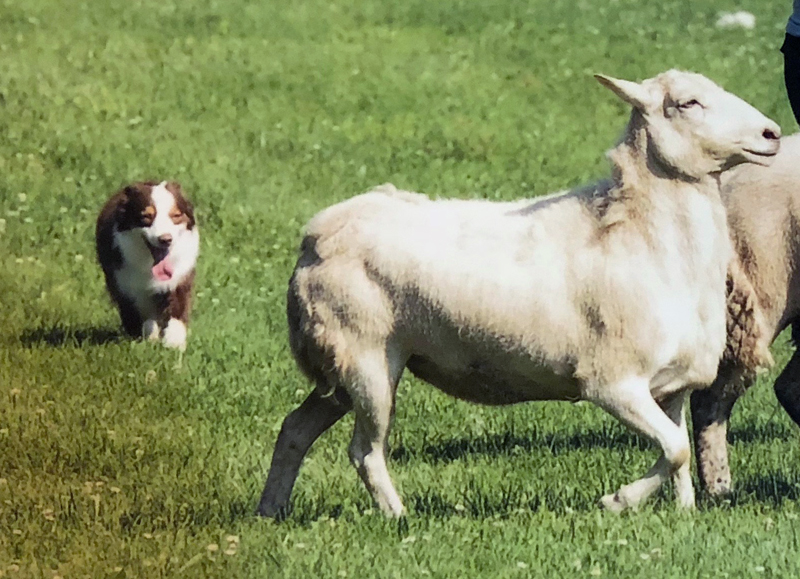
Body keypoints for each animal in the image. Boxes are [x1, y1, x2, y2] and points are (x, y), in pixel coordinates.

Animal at [95, 181, 200, 348]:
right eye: (146, 216)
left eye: (176, 216)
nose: (165, 239)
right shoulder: (127, 285)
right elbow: (142, 316)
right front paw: (149, 338)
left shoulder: (180, 277)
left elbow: (177, 310)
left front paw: (174, 343)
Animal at [260, 68, 780, 516]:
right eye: (688, 103)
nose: (772, 134)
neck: (640, 234)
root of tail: (319, 233)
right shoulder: (611, 382)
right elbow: (674, 450)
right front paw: (616, 501)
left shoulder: (670, 388)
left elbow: (680, 454)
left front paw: (684, 514)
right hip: (365, 355)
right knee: (364, 451)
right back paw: (398, 519)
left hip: (341, 367)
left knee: (294, 428)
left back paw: (271, 511)